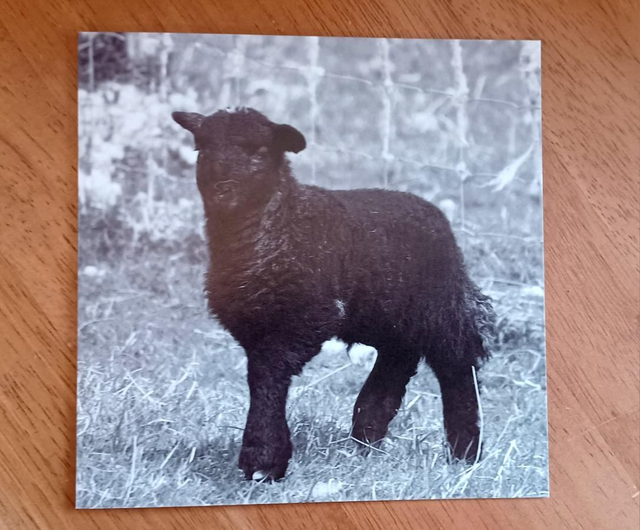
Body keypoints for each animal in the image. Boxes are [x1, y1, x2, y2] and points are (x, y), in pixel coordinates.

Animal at [172, 107, 495, 481]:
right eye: (201, 149)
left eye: (260, 151)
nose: (222, 190)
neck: (282, 225)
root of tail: (434, 213)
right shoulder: (255, 324)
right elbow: (259, 376)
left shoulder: (304, 320)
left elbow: (267, 375)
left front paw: (263, 461)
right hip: (387, 316)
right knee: (397, 361)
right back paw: (367, 437)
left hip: (440, 307)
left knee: (457, 366)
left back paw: (465, 451)